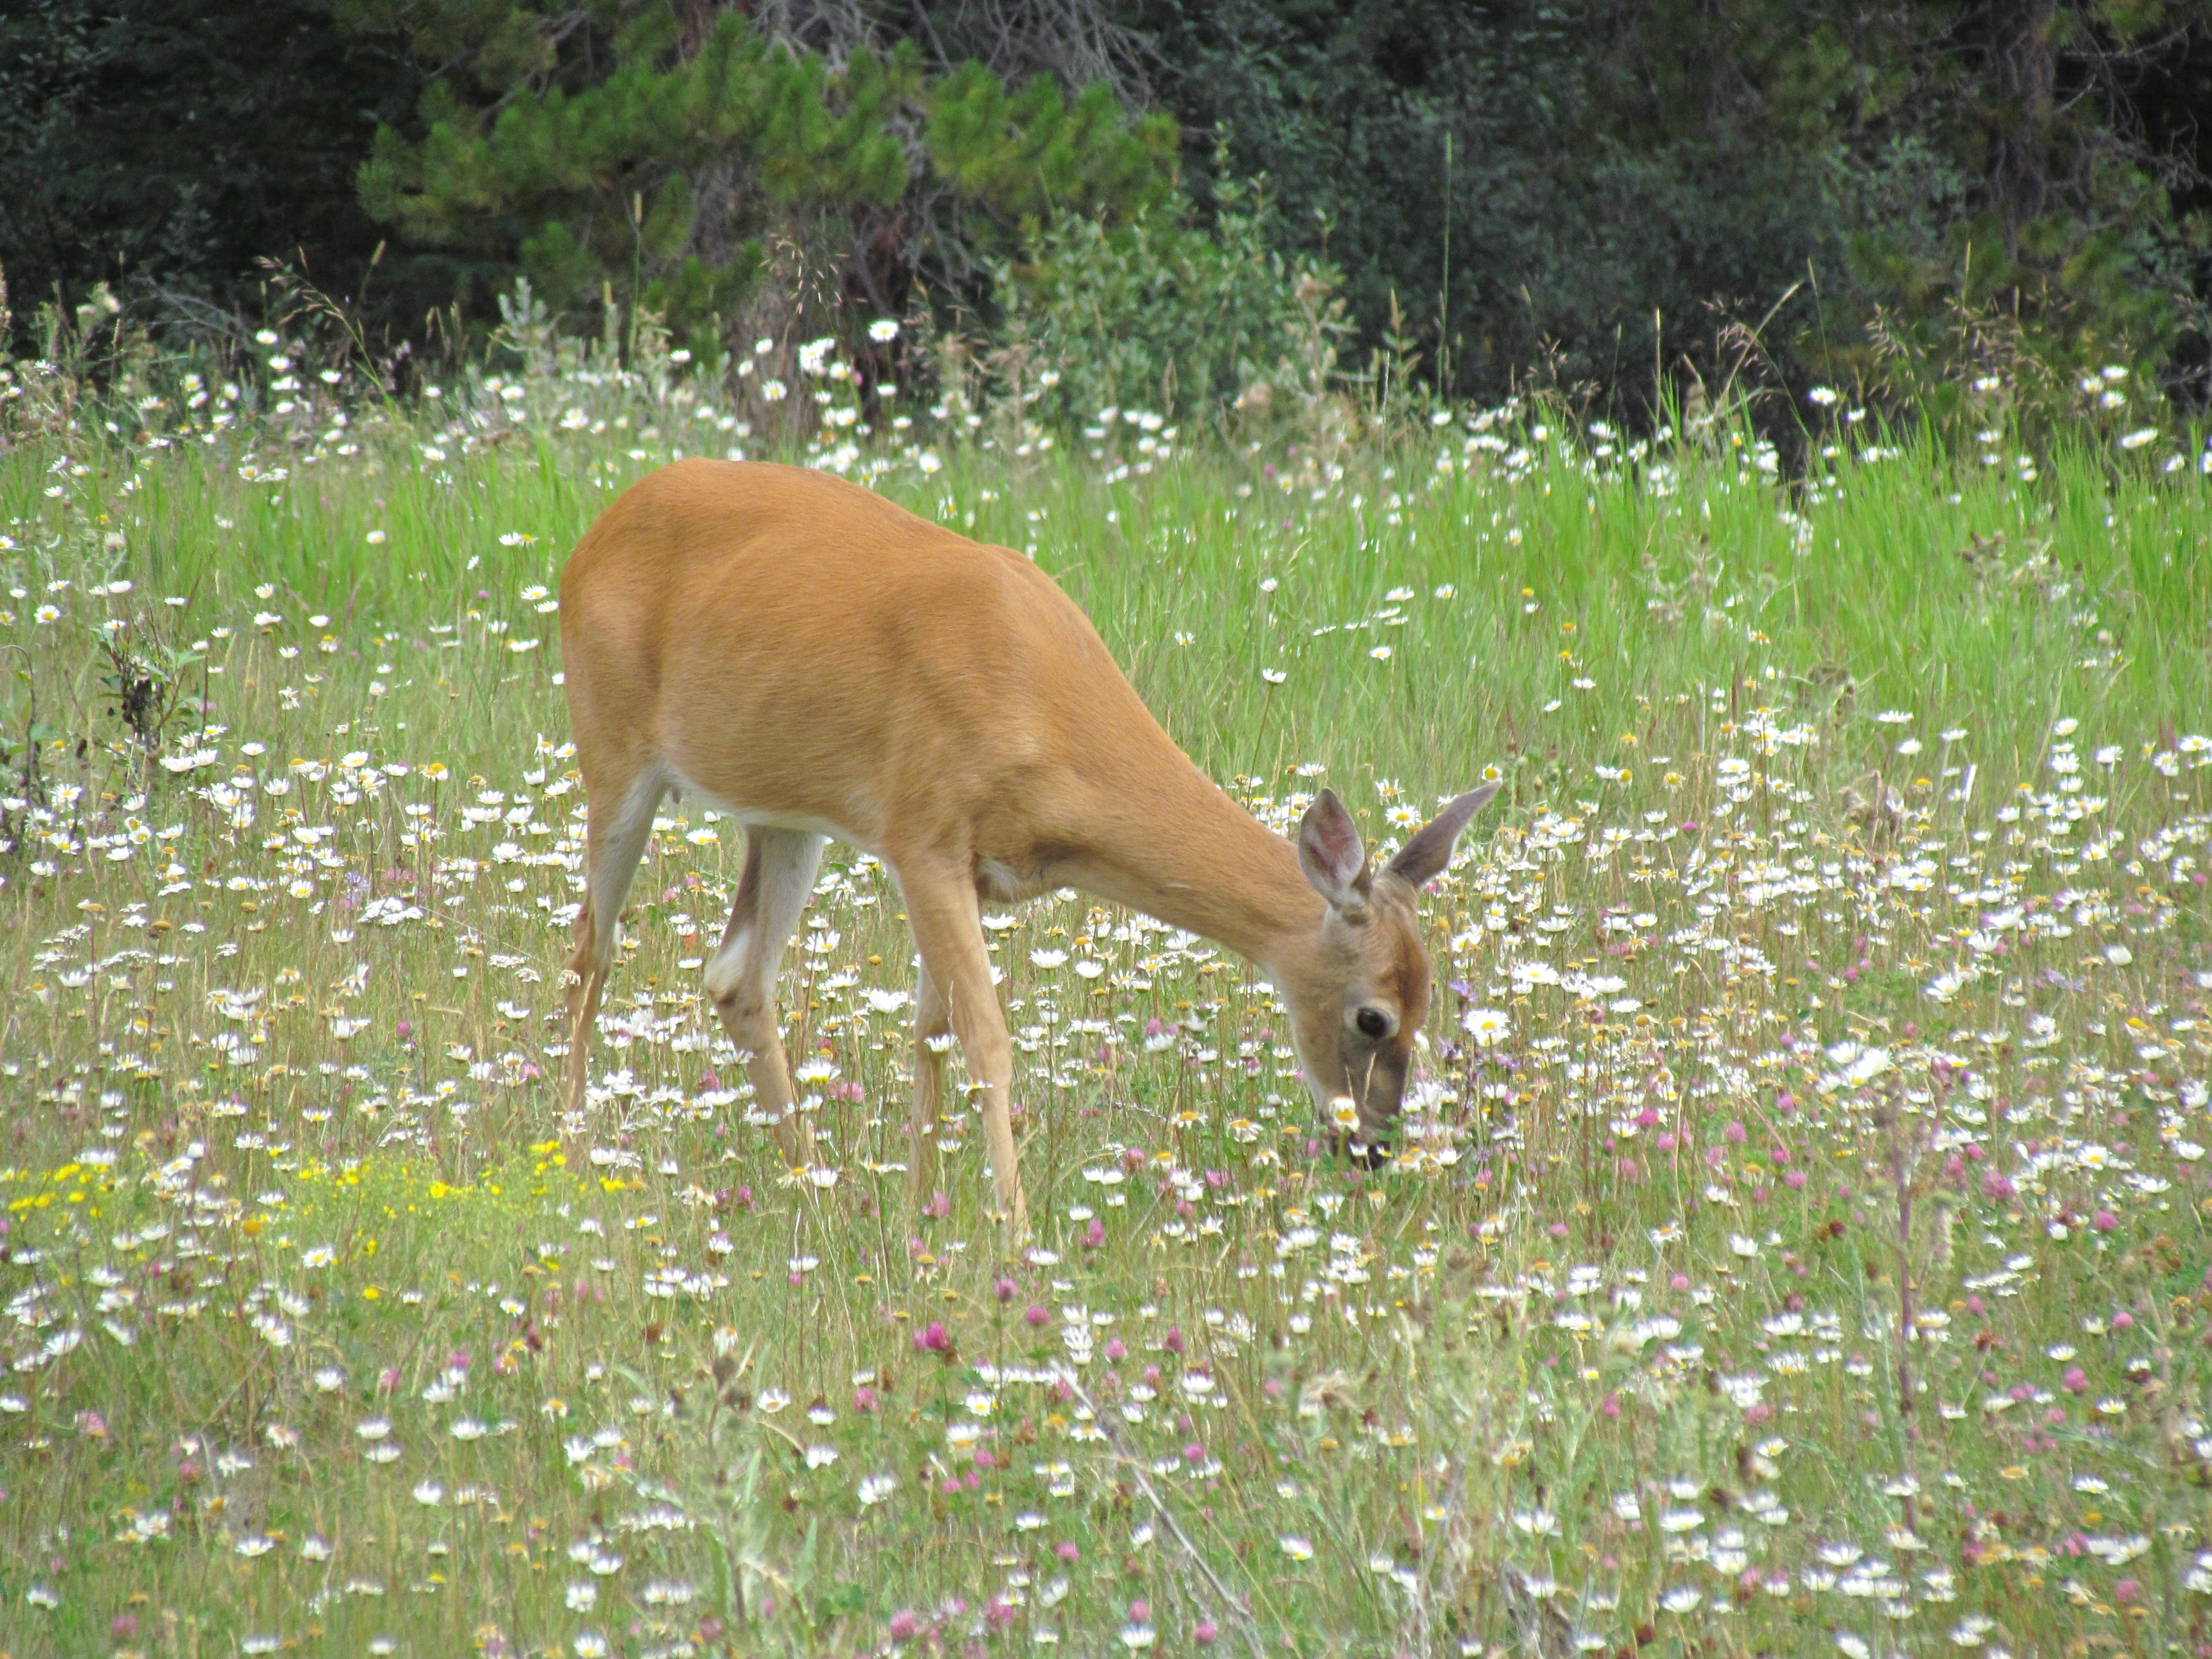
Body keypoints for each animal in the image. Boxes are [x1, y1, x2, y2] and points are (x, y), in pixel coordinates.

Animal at [558, 459, 1497, 1235]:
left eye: (1429, 1004)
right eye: (1373, 1015)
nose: (1372, 1148)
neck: (1048, 716)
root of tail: (593, 534)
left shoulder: (966, 870)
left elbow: (930, 1034)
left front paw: (920, 1217)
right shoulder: (923, 834)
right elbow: (987, 1040)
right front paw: (1012, 1237)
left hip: (787, 817)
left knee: (736, 977)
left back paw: (815, 1191)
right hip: (613, 754)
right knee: (590, 951)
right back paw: (569, 1160)